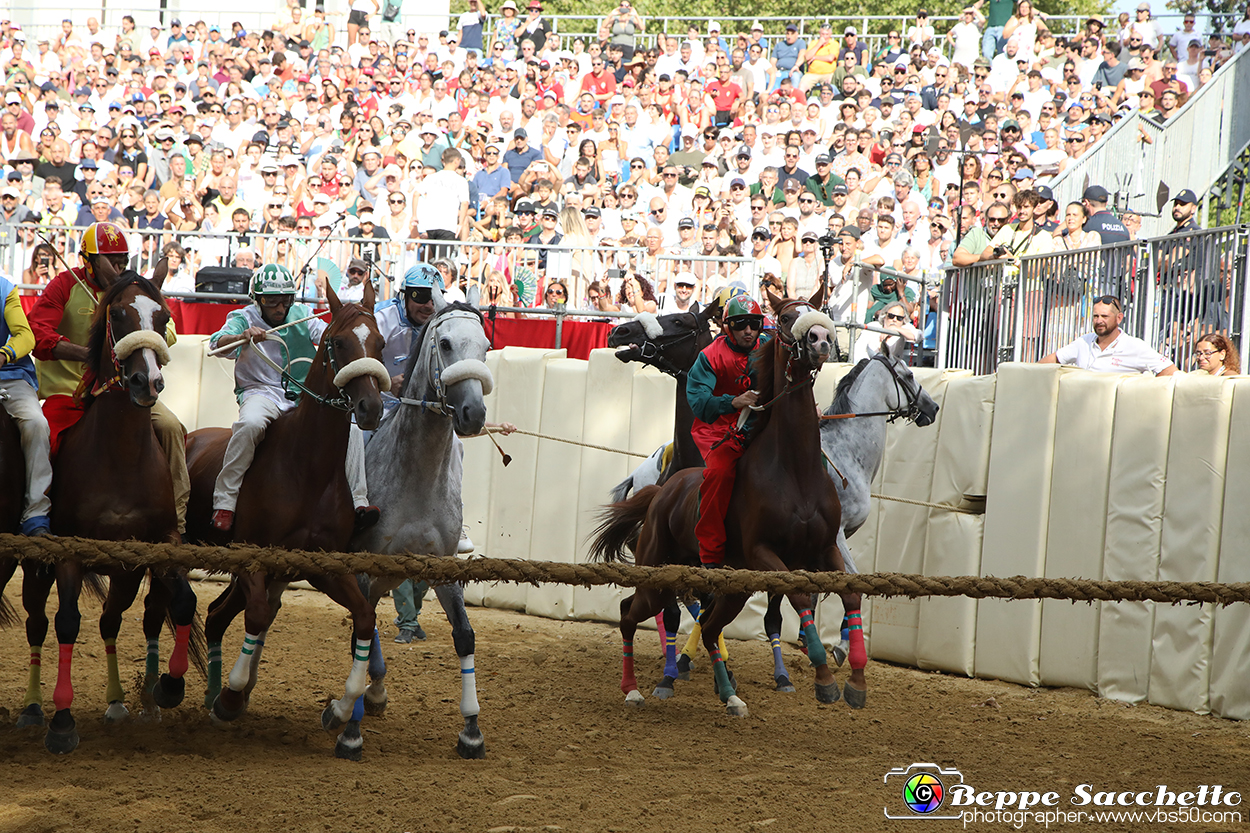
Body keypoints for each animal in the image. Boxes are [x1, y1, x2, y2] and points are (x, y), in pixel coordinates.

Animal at [19, 273, 202, 750]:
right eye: (117, 314)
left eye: (164, 316)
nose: (146, 381)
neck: (119, 457)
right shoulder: (68, 551)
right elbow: (66, 621)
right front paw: (62, 721)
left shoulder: (157, 544)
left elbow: (184, 600)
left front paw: (169, 686)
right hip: (35, 568)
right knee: (37, 623)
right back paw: (31, 707)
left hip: (124, 573)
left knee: (110, 620)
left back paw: (118, 702)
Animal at [185, 282, 385, 755]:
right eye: (339, 342)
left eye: (381, 344)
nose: (370, 407)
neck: (306, 466)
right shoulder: (252, 556)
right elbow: (258, 616)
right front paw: (233, 696)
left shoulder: (323, 565)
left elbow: (364, 616)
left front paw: (340, 710)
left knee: (217, 614)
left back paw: (211, 692)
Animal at [585, 287, 860, 715]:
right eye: (785, 318)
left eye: (818, 312)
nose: (820, 340)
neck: (795, 469)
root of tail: (663, 492)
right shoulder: (763, 553)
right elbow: (798, 595)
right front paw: (824, 678)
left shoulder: (824, 550)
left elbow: (848, 595)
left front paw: (854, 680)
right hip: (660, 573)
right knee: (631, 612)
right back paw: (634, 688)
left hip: (733, 587)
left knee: (711, 625)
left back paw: (730, 695)